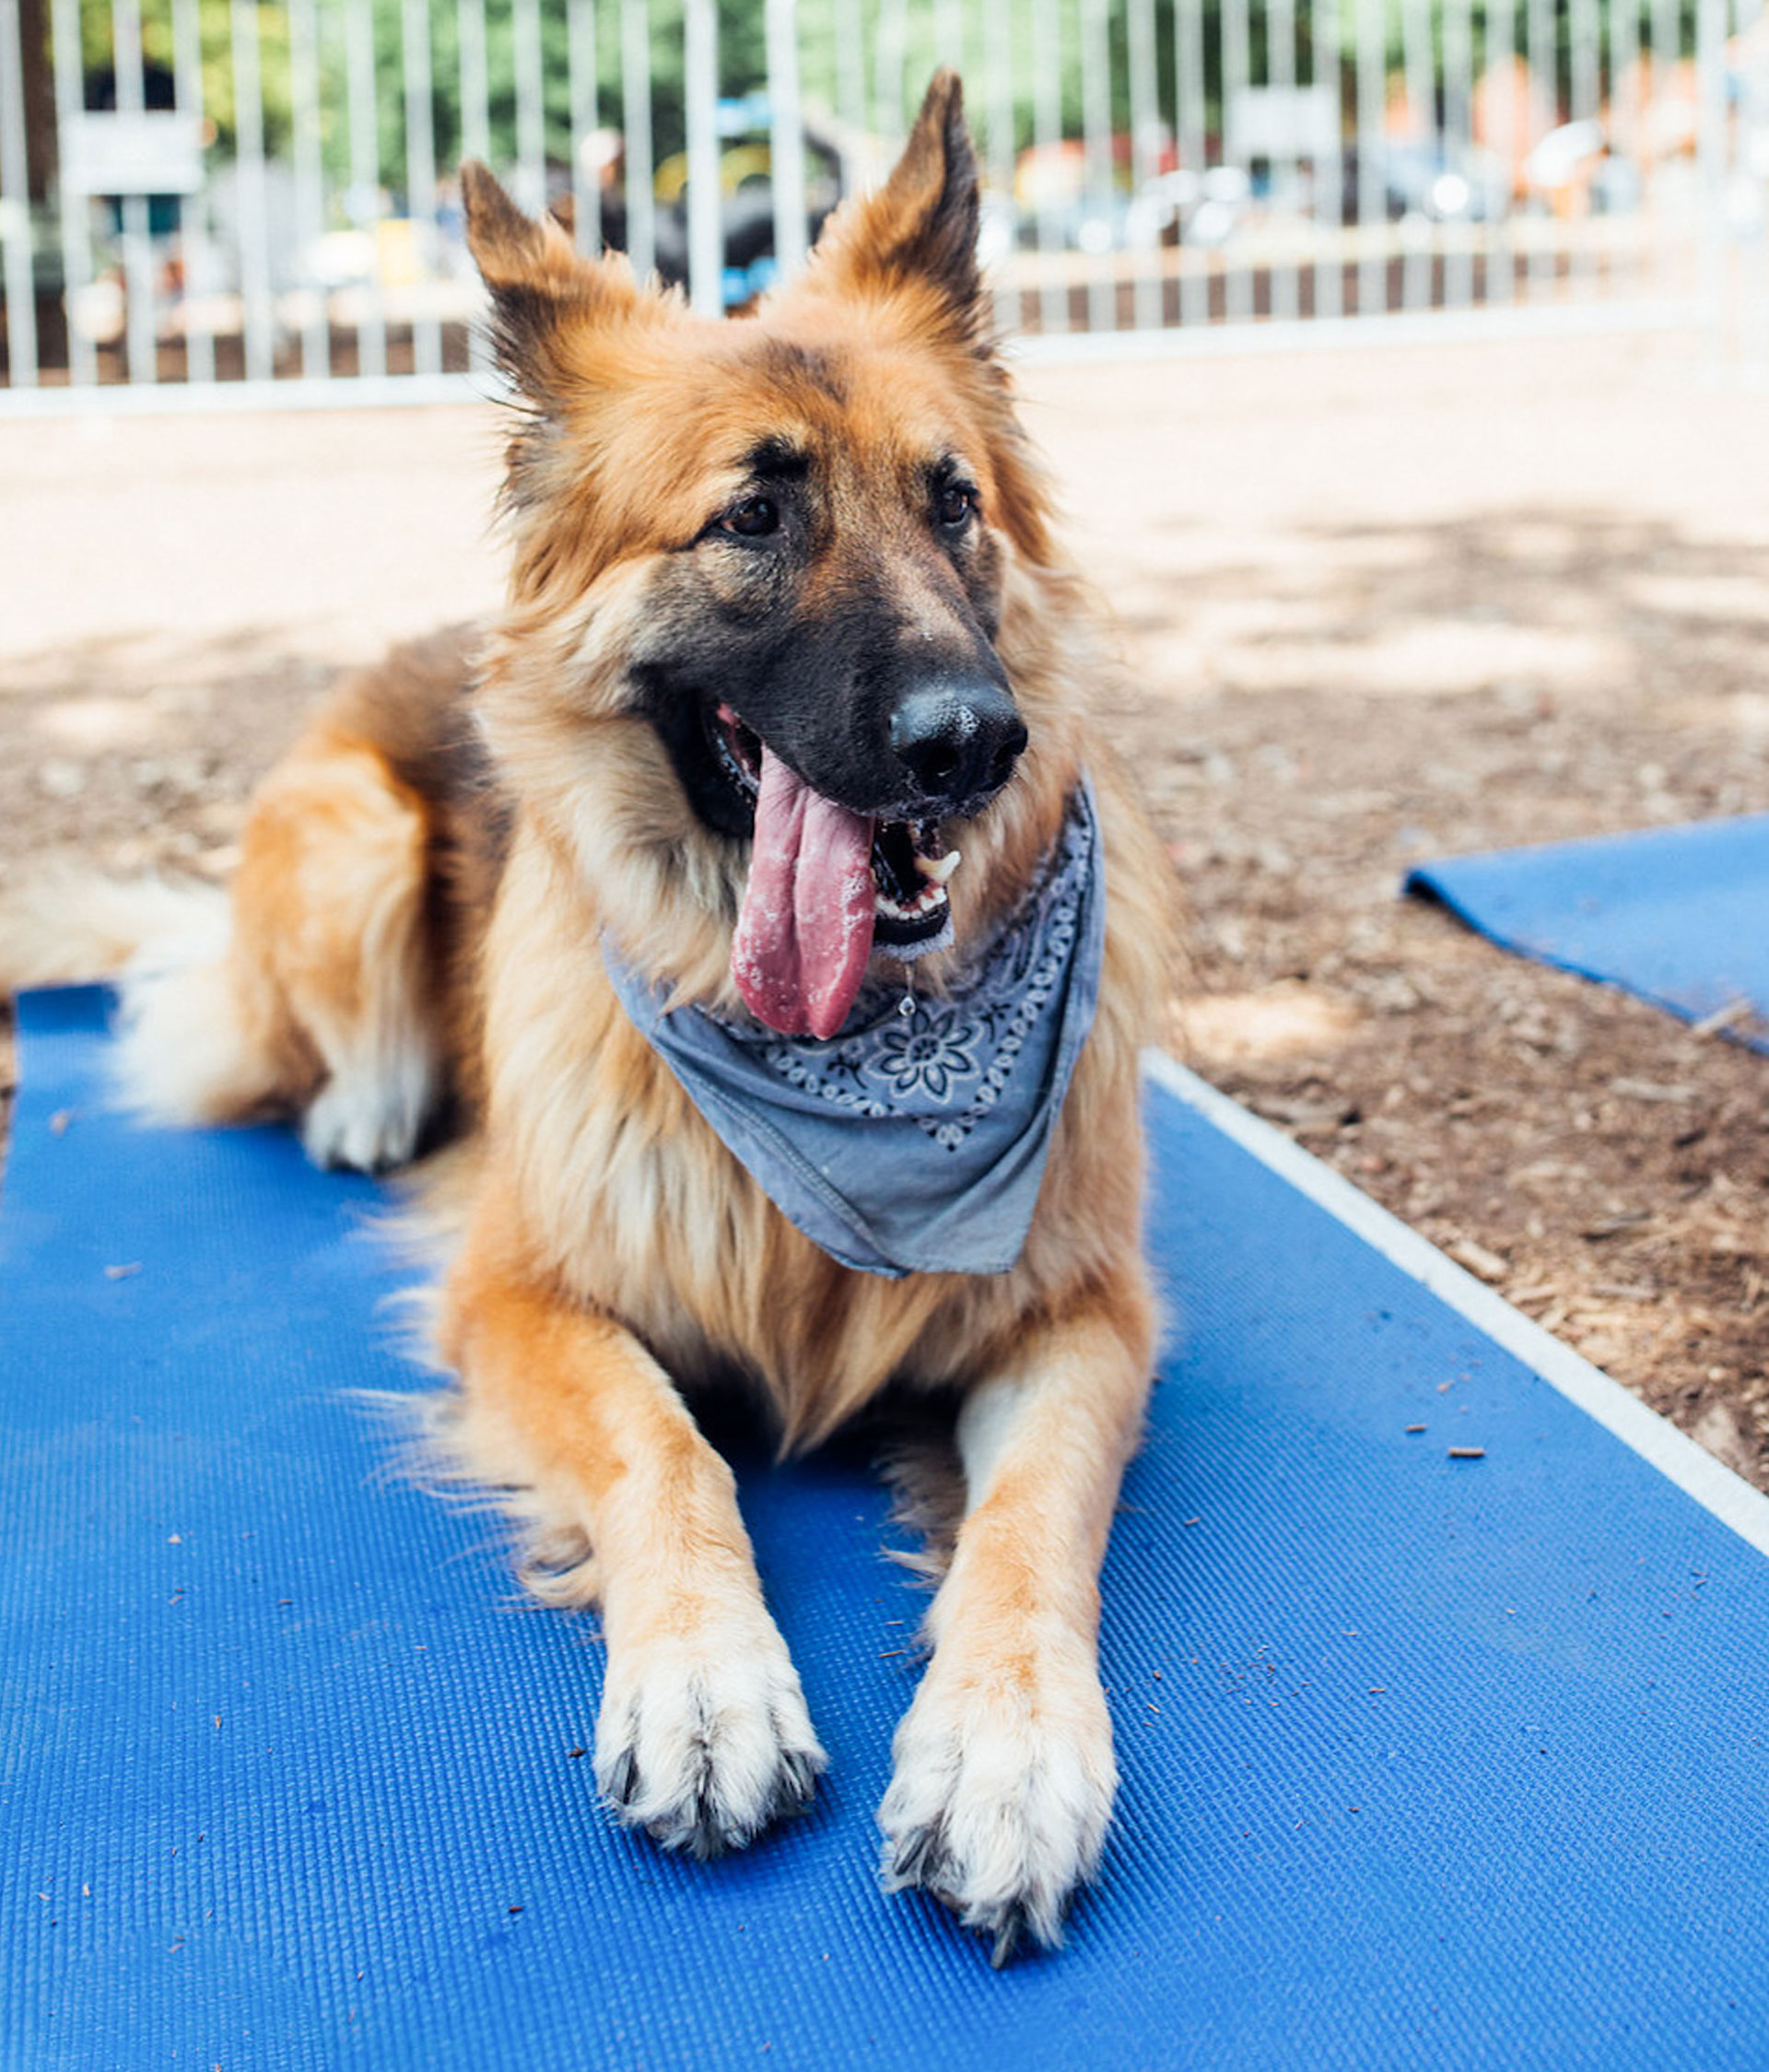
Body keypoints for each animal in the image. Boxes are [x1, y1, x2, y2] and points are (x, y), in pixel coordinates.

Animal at [10, 76, 1192, 1956]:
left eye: (954, 505)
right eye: (753, 519)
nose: (971, 741)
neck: (841, 1062)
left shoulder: (1089, 1318)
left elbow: (1031, 1525)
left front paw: (1009, 1751)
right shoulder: (522, 1295)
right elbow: (664, 1450)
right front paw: (706, 1686)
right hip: (348, 844)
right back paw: (366, 1106)